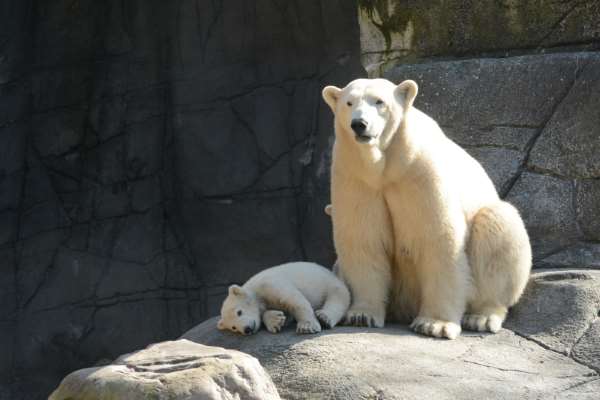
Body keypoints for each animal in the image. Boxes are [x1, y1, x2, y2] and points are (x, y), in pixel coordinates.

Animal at [324, 79, 528, 340]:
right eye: (349, 103)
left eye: (379, 101)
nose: (359, 124)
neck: (386, 166)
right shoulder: (355, 175)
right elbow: (363, 239)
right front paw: (361, 315)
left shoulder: (420, 171)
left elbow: (437, 239)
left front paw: (434, 325)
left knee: (498, 225)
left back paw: (481, 316)